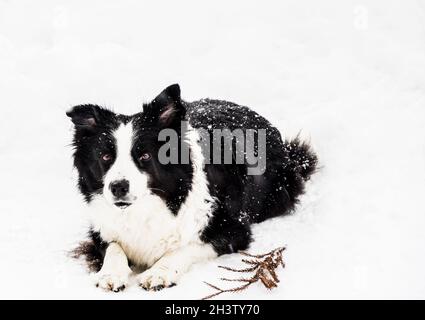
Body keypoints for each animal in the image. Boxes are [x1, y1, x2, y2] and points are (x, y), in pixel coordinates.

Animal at [67, 84, 314, 292]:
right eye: (106, 157)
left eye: (144, 156)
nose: (118, 187)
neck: (147, 209)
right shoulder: (100, 229)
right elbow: (114, 247)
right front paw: (110, 273)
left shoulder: (232, 230)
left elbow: (183, 249)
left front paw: (158, 272)